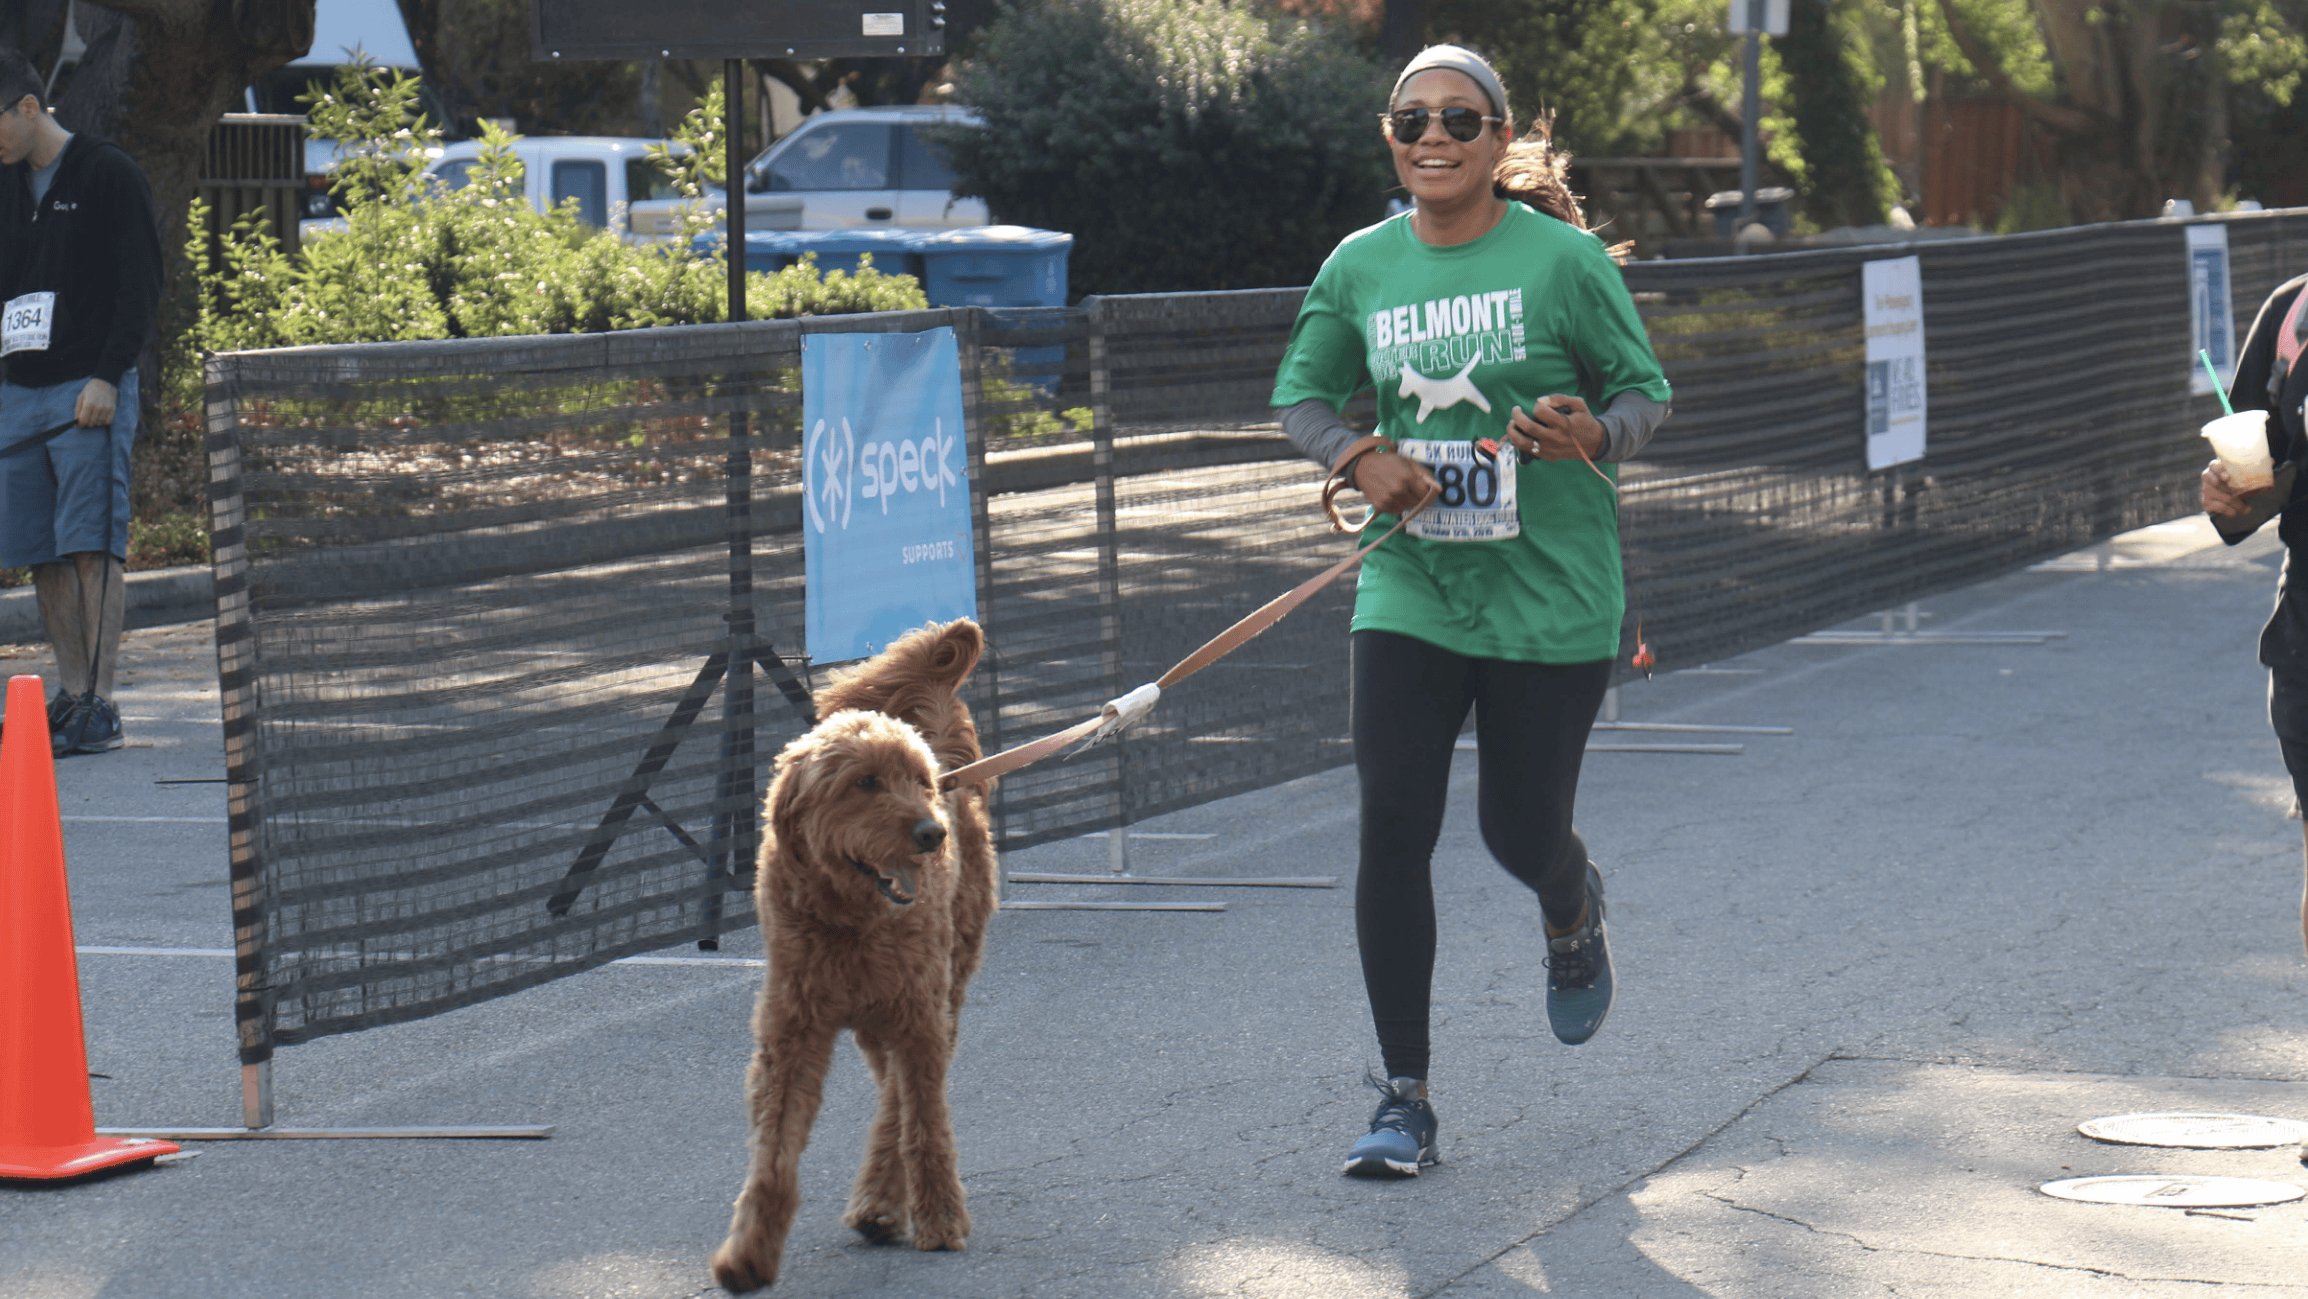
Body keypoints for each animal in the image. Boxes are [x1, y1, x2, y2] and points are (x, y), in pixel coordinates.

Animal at [710, 618, 1001, 1292]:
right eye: (864, 783)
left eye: (915, 782)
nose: (931, 834)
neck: (849, 922)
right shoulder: (791, 1034)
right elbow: (774, 1153)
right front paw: (749, 1254)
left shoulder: (919, 1015)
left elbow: (924, 1121)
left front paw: (940, 1218)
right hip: (883, 1019)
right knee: (889, 1091)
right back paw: (879, 1204)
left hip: (939, 988)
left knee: (901, 1102)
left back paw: (883, 1202)